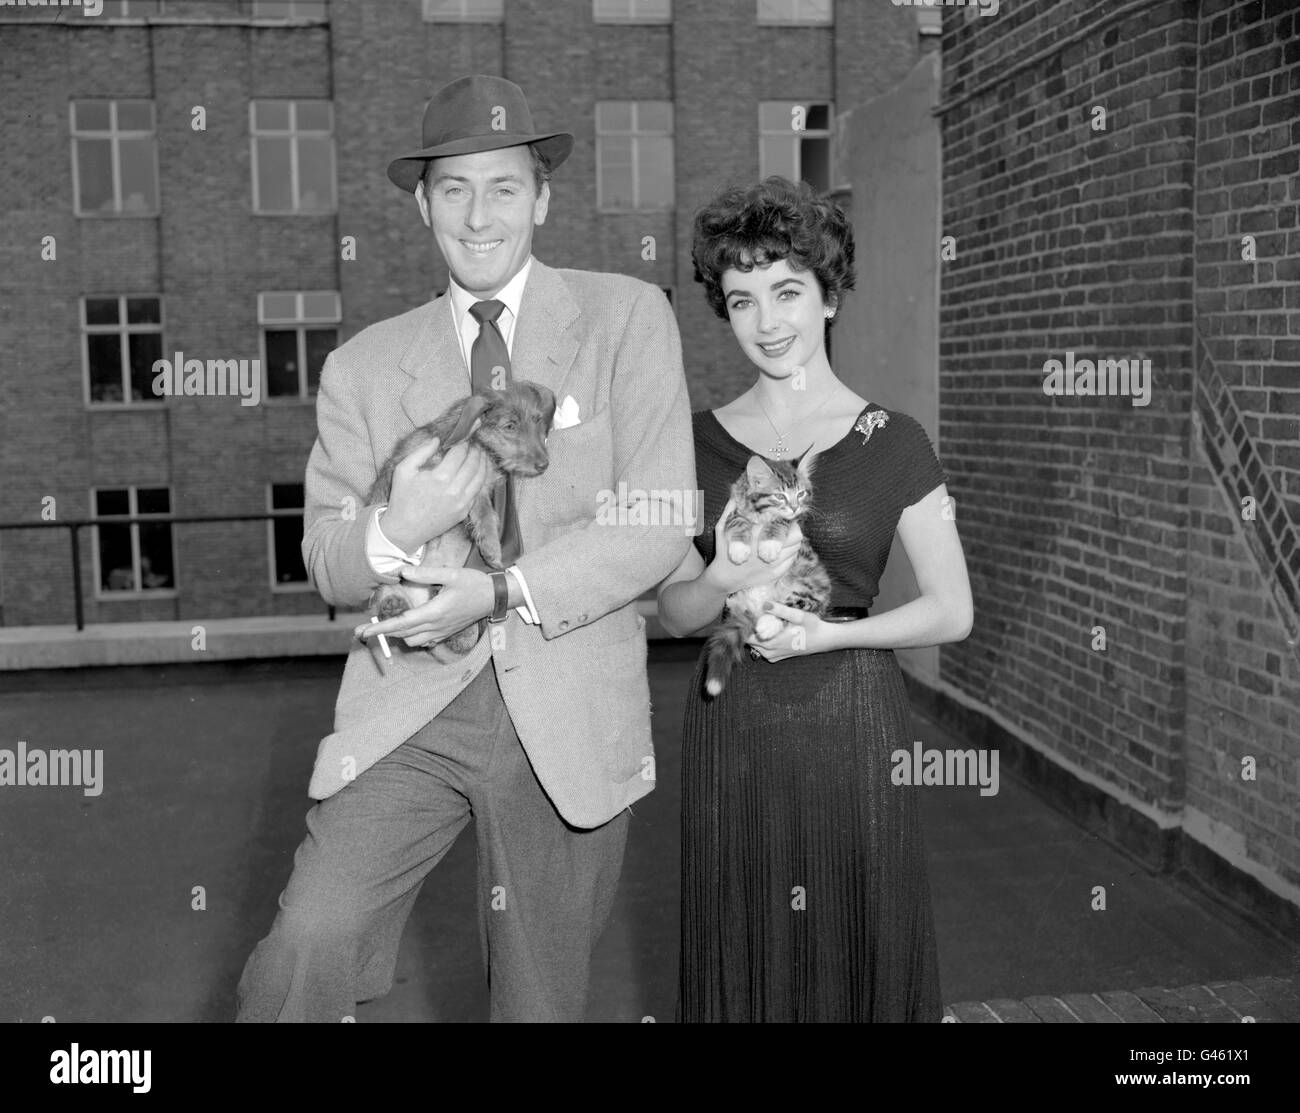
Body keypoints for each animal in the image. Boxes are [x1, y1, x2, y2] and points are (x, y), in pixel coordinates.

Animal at [366, 382, 553, 660]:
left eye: (538, 420)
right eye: (510, 426)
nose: (544, 464)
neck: (479, 447)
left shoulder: (482, 489)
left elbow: (485, 513)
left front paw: (490, 548)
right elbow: (480, 509)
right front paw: (492, 548)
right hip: (388, 588)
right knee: (384, 599)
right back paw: (393, 605)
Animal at [707, 452, 826, 696]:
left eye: (801, 493)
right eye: (780, 496)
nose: (794, 507)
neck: (760, 513)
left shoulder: (796, 522)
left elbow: (781, 520)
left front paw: (769, 545)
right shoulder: (735, 506)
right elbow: (737, 520)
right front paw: (739, 548)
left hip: (811, 587)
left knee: (794, 604)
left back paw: (769, 623)